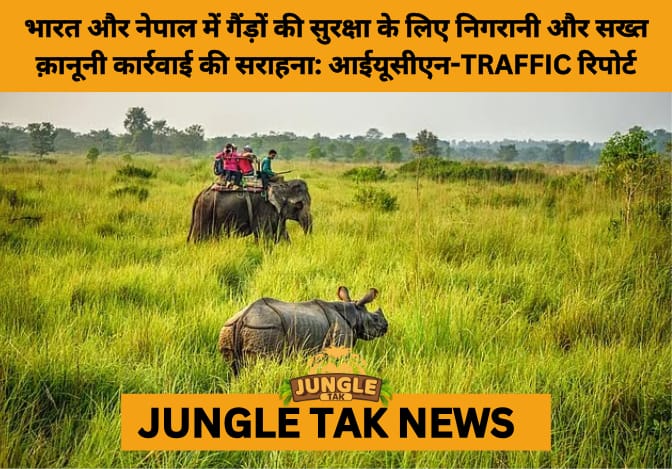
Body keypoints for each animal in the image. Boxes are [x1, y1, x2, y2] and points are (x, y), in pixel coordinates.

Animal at [218, 286, 388, 375]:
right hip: (264, 329)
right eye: (375, 319)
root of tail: (242, 318)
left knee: (234, 369)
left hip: (229, 328)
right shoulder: (340, 342)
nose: (386, 326)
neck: (354, 313)